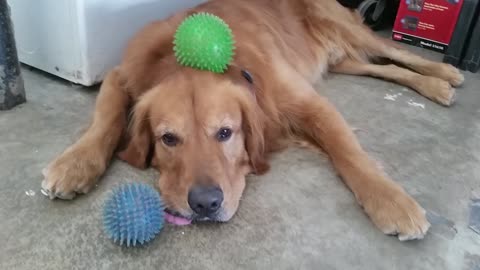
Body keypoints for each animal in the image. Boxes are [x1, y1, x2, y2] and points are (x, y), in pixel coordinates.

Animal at [42, 0, 464, 240]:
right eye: (168, 139)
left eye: (226, 132)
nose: (205, 204)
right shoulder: (120, 76)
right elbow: (107, 118)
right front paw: (74, 165)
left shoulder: (308, 103)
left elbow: (350, 153)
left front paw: (391, 202)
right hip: (342, 60)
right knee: (383, 68)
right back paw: (434, 85)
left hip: (349, 31)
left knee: (397, 52)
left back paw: (445, 74)